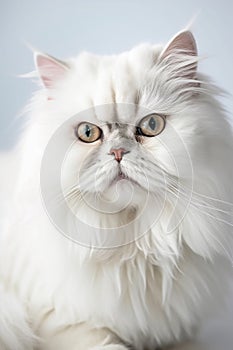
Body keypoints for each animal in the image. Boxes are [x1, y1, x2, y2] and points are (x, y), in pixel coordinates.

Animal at [0, 30, 233, 350]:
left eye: (151, 125)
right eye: (88, 133)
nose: (118, 152)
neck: (135, 247)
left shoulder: (183, 330)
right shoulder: (57, 321)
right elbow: (104, 343)